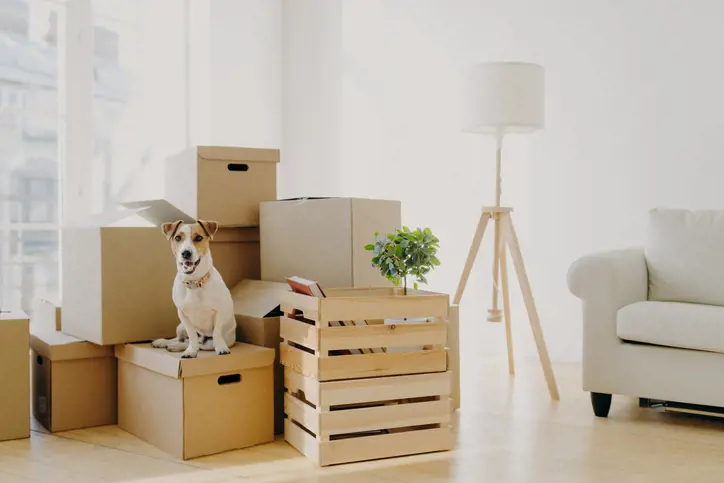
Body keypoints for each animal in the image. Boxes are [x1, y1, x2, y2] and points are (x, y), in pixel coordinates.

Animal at [152, 220, 236, 360]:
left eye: (198, 238)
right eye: (177, 238)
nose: (186, 253)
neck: (194, 283)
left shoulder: (219, 311)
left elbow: (217, 332)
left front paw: (221, 348)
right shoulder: (183, 315)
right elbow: (192, 335)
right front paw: (191, 351)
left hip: (210, 342)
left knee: (199, 344)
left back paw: (174, 346)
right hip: (180, 327)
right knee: (182, 339)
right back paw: (165, 343)